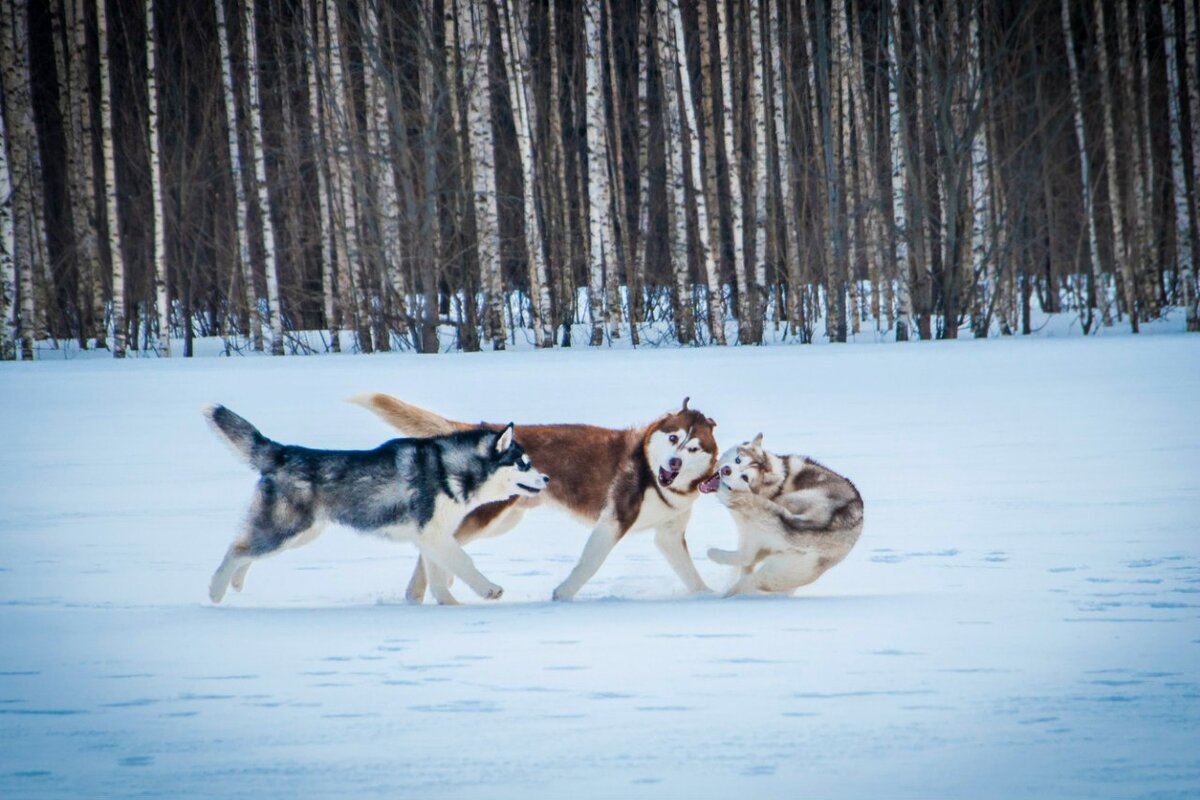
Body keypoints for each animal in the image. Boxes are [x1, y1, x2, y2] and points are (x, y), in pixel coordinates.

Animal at [202, 407, 549, 606]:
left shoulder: (432, 537)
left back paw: (235, 582)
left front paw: (449, 605)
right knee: (237, 549)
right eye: (523, 464)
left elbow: (438, 574)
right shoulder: (433, 533)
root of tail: (286, 452)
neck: (449, 469)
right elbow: (463, 562)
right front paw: (489, 590)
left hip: (302, 533)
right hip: (287, 528)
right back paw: (216, 592)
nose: (546, 478)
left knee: (245, 548)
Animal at [350, 393, 715, 599]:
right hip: (488, 516)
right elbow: (589, 565)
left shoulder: (669, 535)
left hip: (505, 520)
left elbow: (690, 573)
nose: (674, 462)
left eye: (693, 447)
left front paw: (707, 596)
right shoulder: (613, 521)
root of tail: (485, 430)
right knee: (434, 542)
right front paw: (563, 594)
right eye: (673, 438)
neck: (654, 476)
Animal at [700, 434, 864, 597]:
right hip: (785, 572)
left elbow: (746, 558)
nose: (726, 470)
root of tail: (832, 520)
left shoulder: (753, 533)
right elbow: (748, 563)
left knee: (748, 568)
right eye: (738, 460)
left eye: (745, 477)